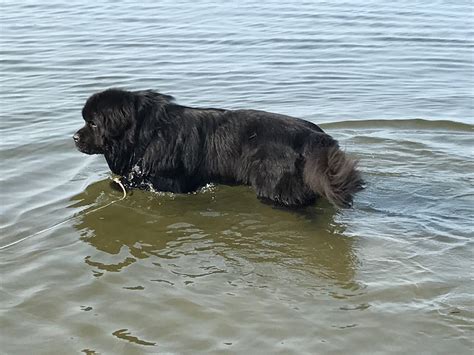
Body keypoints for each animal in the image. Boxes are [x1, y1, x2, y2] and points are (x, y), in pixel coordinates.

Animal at [73, 88, 362, 209]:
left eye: (92, 123)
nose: (74, 137)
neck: (148, 132)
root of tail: (312, 137)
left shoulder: (169, 183)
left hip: (275, 187)